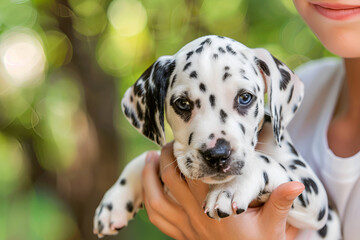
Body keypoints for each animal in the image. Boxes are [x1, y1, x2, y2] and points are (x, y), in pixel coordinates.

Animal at [93, 35, 340, 238]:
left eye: (245, 97)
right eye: (183, 103)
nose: (217, 155)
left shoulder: (315, 199)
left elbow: (262, 160)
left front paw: (230, 189)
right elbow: (145, 159)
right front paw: (115, 199)